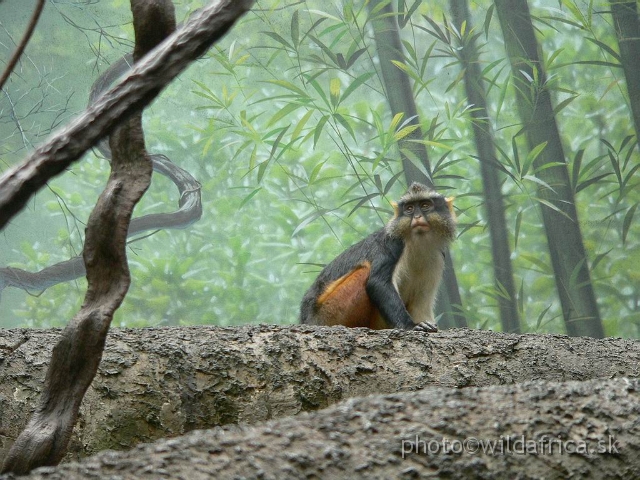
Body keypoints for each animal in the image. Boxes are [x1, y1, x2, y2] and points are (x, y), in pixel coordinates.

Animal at [300, 182, 456, 332]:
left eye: (425, 205)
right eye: (409, 208)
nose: (417, 217)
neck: (418, 241)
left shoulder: (438, 255)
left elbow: (422, 300)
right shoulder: (393, 243)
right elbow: (378, 282)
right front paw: (411, 325)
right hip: (330, 312)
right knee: (364, 271)